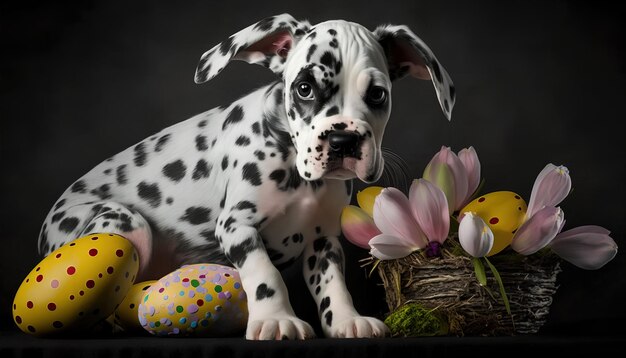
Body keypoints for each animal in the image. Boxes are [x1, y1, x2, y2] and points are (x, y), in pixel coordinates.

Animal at [37, 13, 454, 338]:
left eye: (378, 95)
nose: (343, 140)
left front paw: (346, 320)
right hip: (123, 221)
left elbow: (334, 285)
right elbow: (264, 274)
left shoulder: (324, 240)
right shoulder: (237, 226)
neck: (299, 174)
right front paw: (277, 320)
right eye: (304, 88)